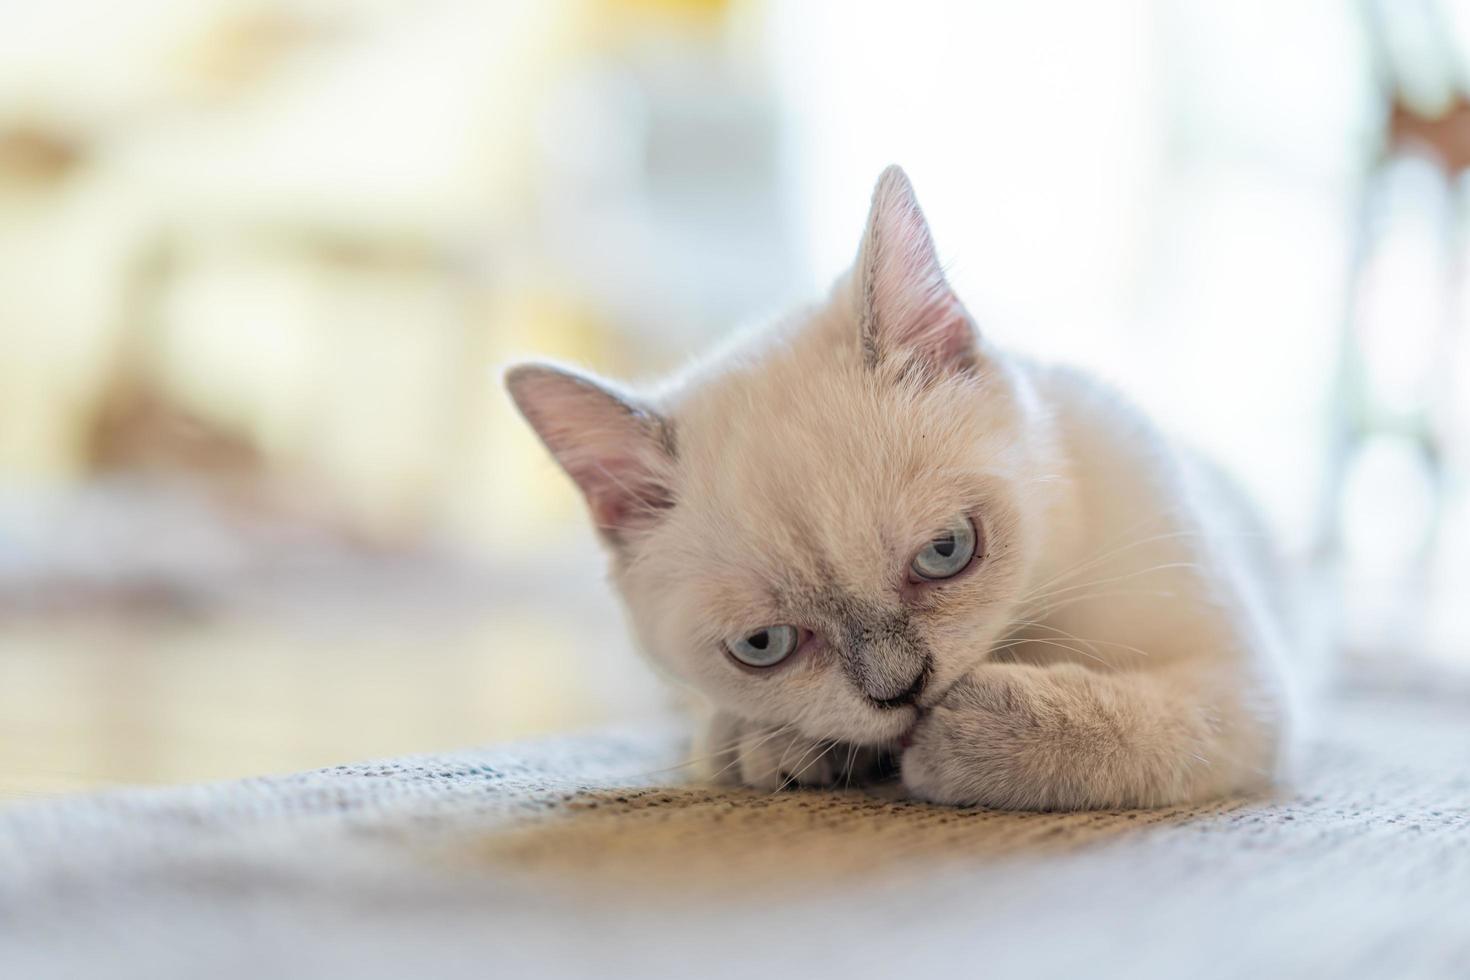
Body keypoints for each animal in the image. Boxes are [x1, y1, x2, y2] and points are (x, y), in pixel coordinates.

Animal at [511, 166, 1293, 811]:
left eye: (946, 551)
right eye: (763, 645)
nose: (903, 691)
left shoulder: (1244, 683)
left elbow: (1137, 721)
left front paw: (971, 734)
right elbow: (727, 734)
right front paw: (772, 742)